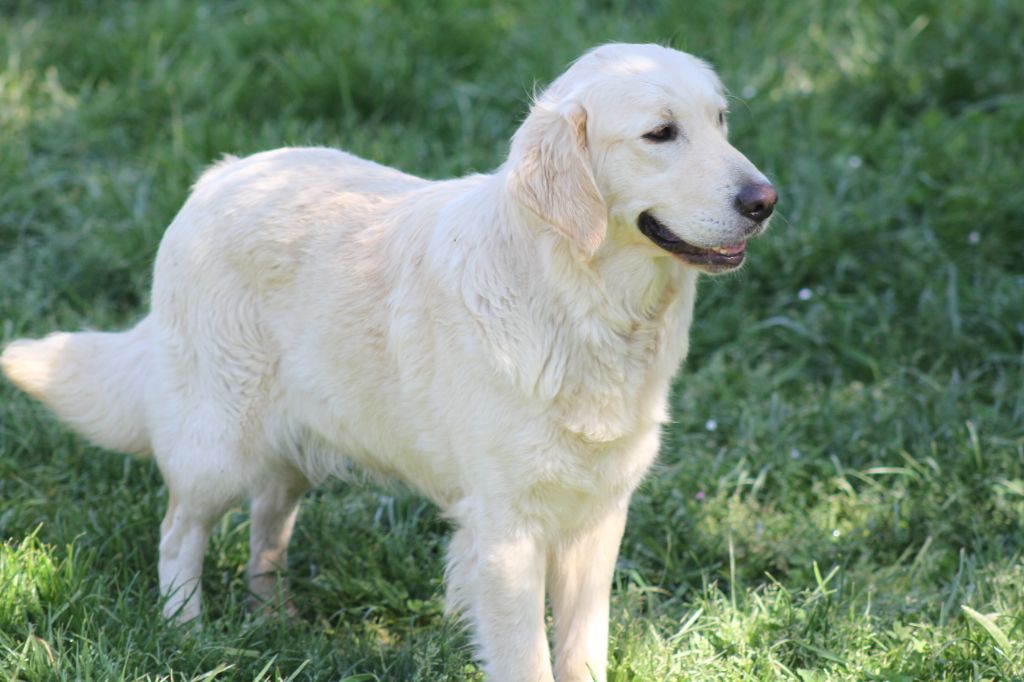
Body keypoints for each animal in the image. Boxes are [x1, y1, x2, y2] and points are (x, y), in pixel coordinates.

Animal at [2, 43, 774, 679]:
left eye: (720, 120)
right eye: (660, 134)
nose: (765, 200)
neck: (586, 305)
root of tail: (217, 176)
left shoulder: (598, 517)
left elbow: (583, 652)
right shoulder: (506, 533)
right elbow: (527, 659)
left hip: (297, 444)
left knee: (268, 522)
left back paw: (271, 617)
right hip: (215, 444)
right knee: (178, 533)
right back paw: (187, 632)